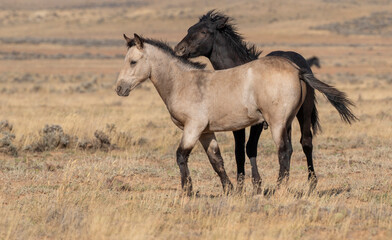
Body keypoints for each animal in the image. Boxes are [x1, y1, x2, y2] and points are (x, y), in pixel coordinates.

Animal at [175, 10, 356, 193]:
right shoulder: (237, 125)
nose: (179, 49)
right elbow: (239, 151)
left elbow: (250, 148)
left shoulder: (257, 123)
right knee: (288, 147)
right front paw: (241, 186)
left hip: (303, 113)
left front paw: (257, 184)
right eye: (189, 29)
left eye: (204, 32)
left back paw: (310, 182)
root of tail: (299, 67)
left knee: (305, 143)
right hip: (285, 121)